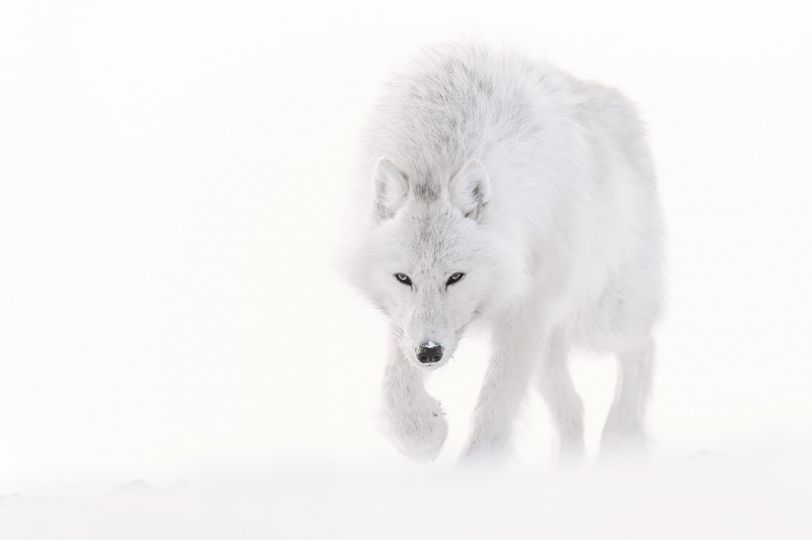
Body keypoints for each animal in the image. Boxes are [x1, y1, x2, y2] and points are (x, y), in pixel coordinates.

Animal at [342, 43, 668, 464]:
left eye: (455, 277)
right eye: (403, 278)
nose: (429, 353)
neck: (439, 147)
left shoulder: (527, 307)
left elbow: (497, 400)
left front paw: (476, 469)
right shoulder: (405, 320)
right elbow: (397, 385)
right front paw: (423, 432)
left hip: (599, 318)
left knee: (643, 346)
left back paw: (620, 438)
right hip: (551, 347)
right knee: (575, 408)